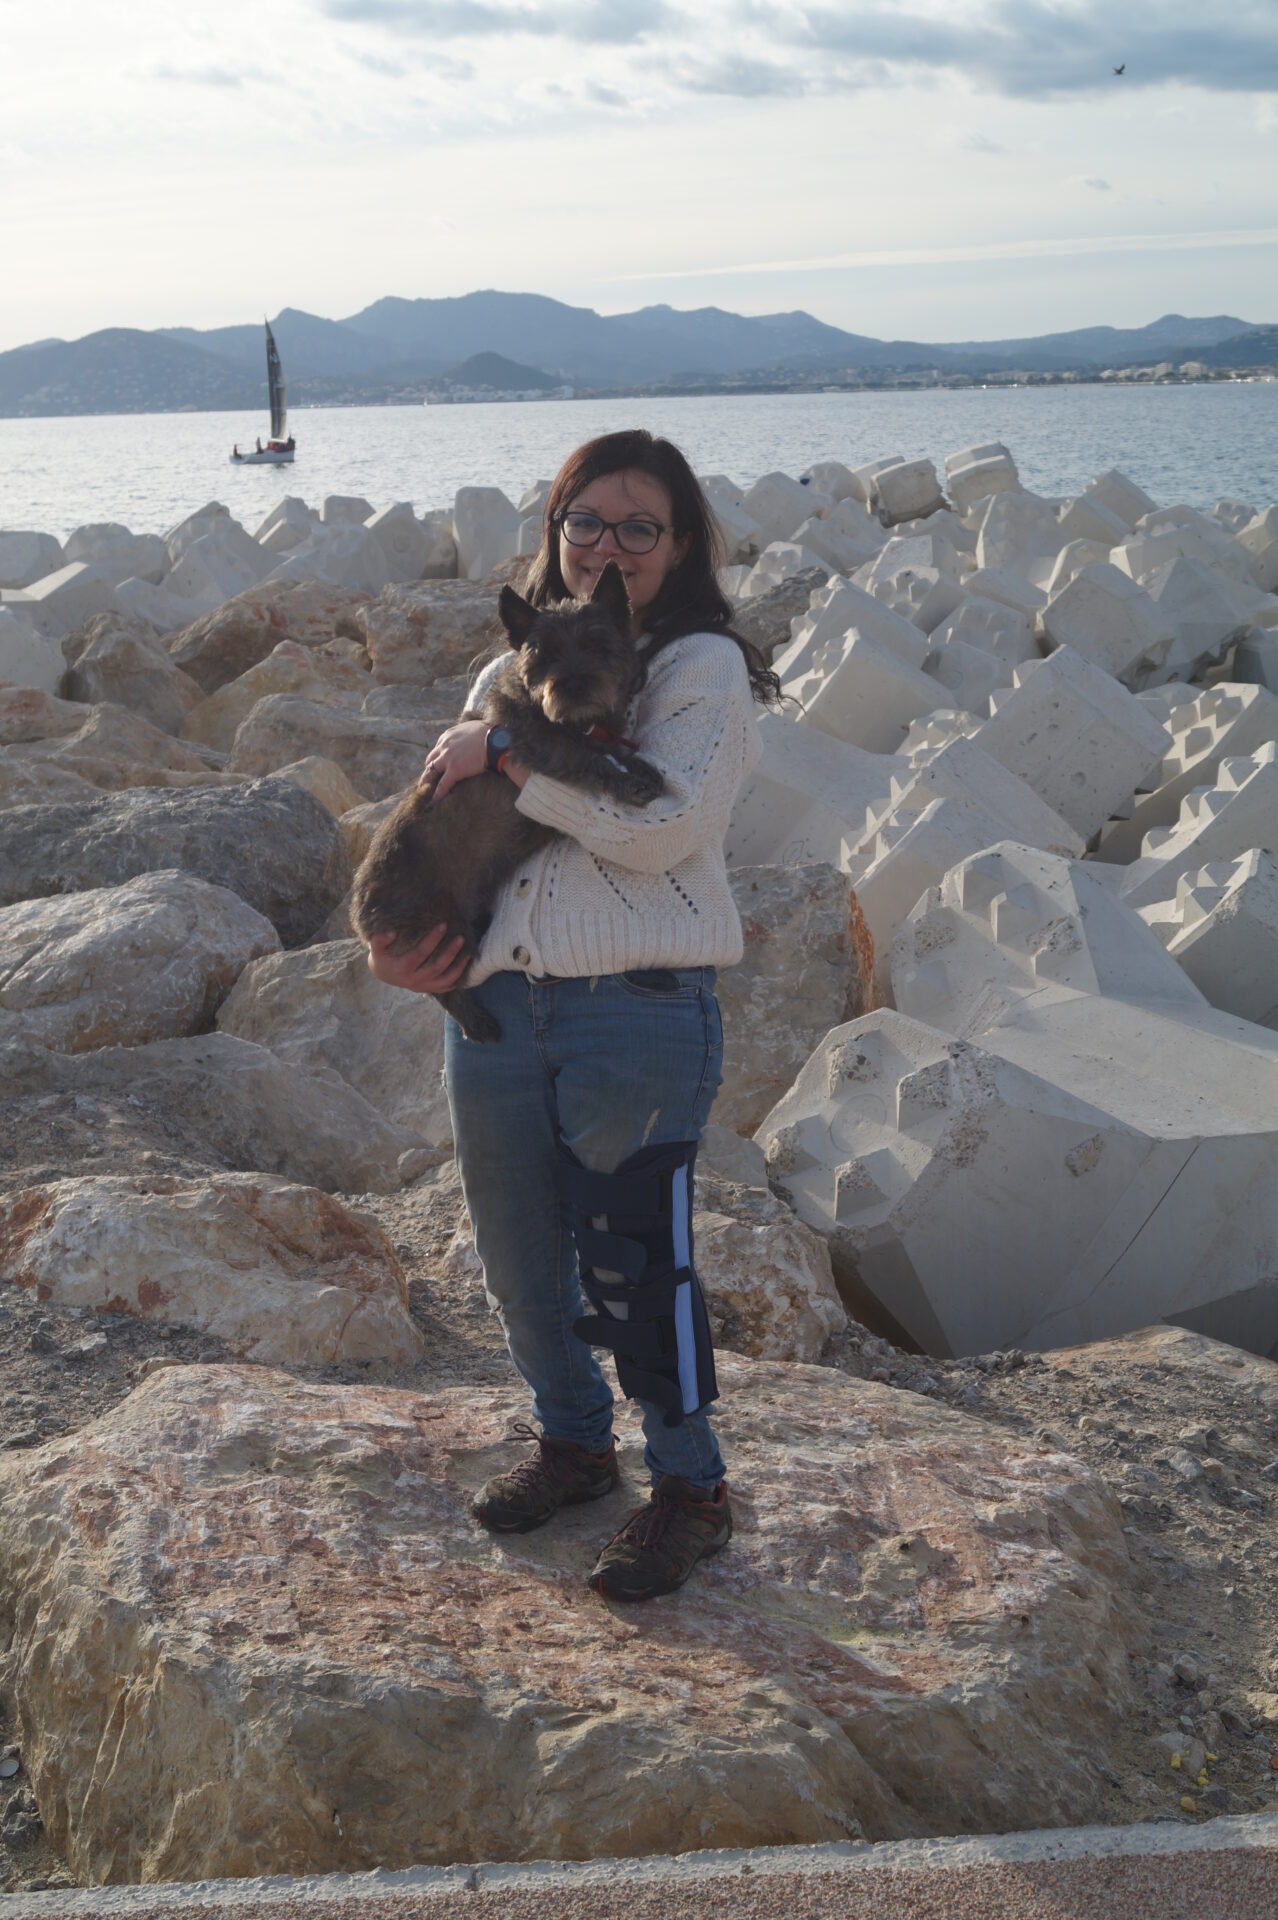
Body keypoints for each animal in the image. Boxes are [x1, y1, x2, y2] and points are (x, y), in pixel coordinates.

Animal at [351, 560, 660, 1044]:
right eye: (544, 654)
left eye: (597, 643)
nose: (573, 686)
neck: (576, 722)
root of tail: (359, 914)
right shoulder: (538, 745)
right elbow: (589, 759)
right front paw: (627, 782)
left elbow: (616, 750)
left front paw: (640, 766)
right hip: (444, 936)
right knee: (442, 988)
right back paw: (476, 1022)